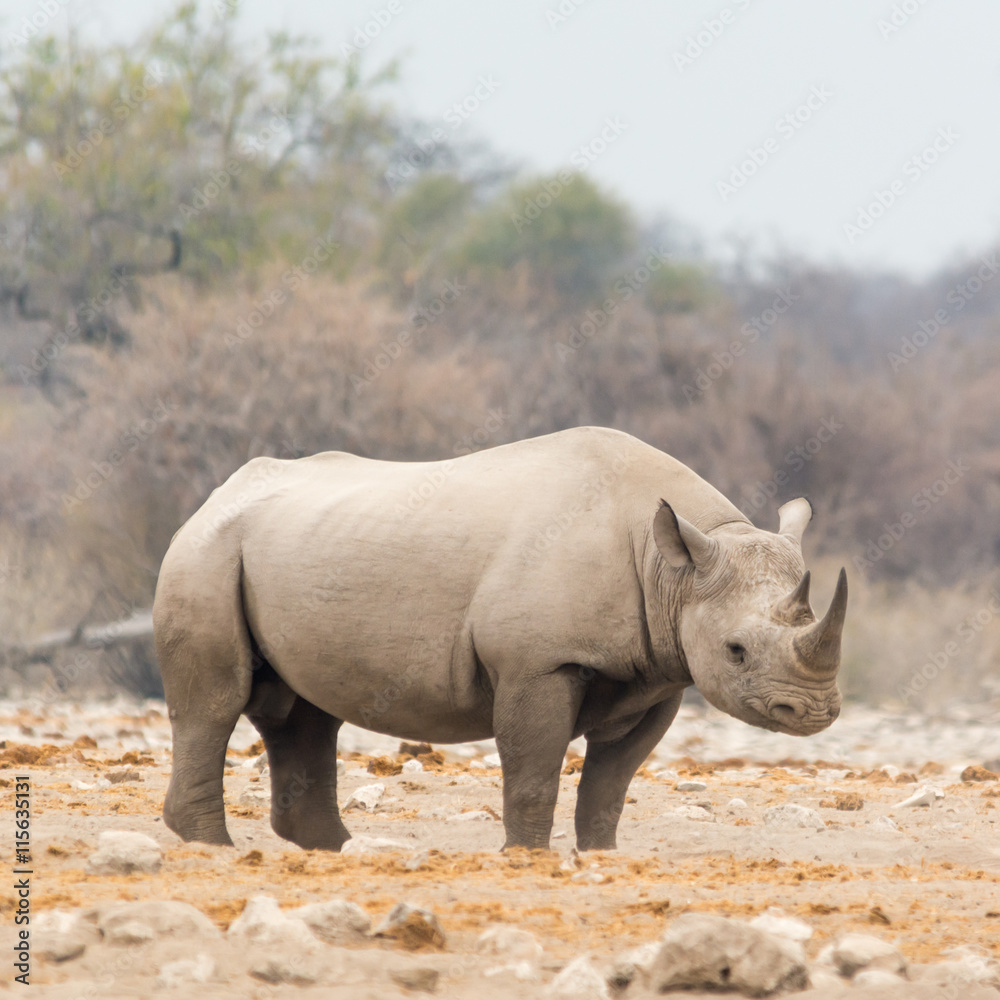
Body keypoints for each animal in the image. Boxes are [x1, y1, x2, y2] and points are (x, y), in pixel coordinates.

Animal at [154, 426, 846, 852]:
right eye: (736, 650)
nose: (813, 712)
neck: (670, 568)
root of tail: (214, 496)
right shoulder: (539, 662)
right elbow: (534, 764)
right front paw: (528, 856)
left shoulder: (657, 673)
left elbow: (612, 779)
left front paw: (602, 854)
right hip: (205, 552)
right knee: (216, 702)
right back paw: (215, 847)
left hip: (283, 546)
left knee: (306, 713)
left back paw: (342, 851)